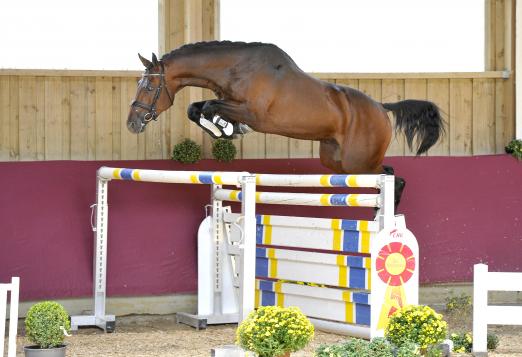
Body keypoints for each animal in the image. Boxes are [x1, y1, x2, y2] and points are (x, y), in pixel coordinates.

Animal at [128, 41, 440, 207]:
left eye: (148, 87)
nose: (133, 123)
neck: (237, 69)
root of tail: (380, 107)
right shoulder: (231, 103)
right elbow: (196, 108)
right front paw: (223, 129)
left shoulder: (253, 113)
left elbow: (207, 107)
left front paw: (225, 129)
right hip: (337, 162)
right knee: (387, 175)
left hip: (358, 162)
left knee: (393, 177)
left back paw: (385, 214)